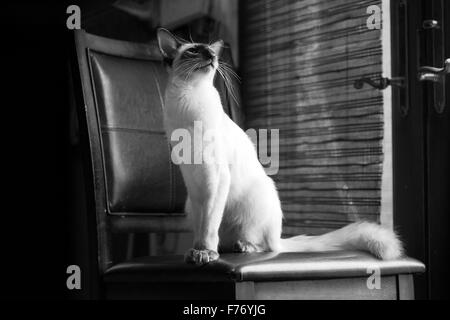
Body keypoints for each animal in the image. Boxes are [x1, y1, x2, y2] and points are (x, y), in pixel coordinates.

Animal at [156, 28, 402, 264]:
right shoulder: (195, 183)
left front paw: (205, 253)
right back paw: (225, 248)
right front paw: (196, 251)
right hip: (190, 204)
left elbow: (209, 224)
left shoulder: (215, 177)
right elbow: (202, 225)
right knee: (229, 240)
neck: (187, 100)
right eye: (194, 51)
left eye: (210, 51)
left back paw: (242, 246)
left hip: (257, 199)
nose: (211, 56)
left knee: (266, 245)